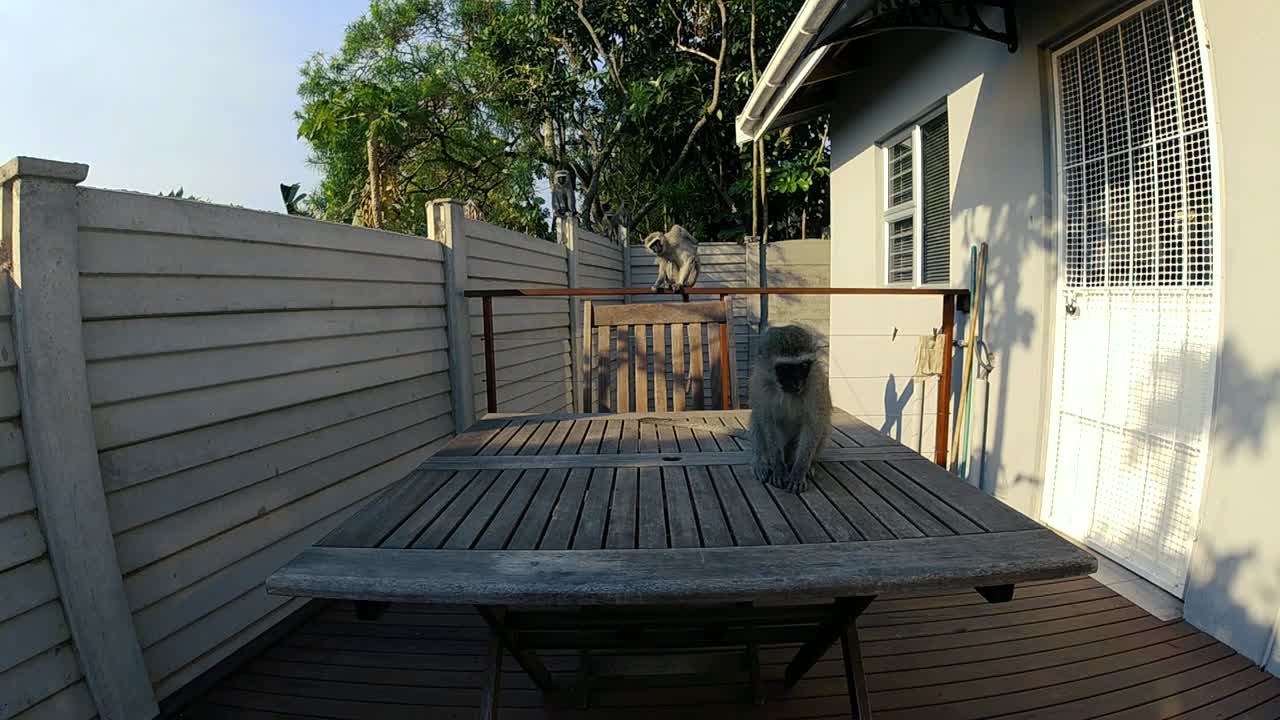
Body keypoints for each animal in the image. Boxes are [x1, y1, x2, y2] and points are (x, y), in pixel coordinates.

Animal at [748, 324, 831, 494]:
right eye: (785, 368)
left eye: (803, 366)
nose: (797, 383)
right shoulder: (760, 384)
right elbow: (767, 422)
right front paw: (779, 469)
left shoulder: (816, 384)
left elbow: (813, 425)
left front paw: (799, 471)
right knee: (757, 420)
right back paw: (761, 462)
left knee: (823, 426)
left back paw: (807, 465)